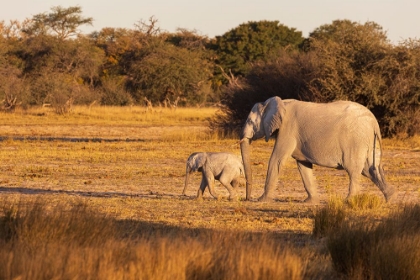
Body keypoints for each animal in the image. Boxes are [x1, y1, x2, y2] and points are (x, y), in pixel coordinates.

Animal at [240, 97, 394, 203]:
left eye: (250, 122)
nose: (248, 199)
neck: (280, 102)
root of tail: (374, 122)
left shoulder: (288, 129)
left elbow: (276, 160)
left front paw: (261, 200)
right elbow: (303, 165)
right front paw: (309, 202)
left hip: (355, 141)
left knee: (354, 171)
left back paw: (348, 201)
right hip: (368, 140)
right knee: (371, 170)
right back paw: (390, 198)